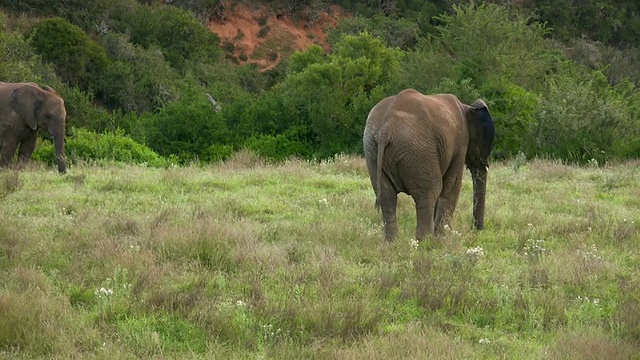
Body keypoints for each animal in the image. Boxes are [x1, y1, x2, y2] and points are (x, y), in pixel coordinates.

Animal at [362, 89, 498, 242]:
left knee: (387, 196)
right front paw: (442, 237)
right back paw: (426, 241)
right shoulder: (460, 143)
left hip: (372, 150)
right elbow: (451, 184)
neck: (467, 107)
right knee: (428, 192)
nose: (476, 229)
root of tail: (386, 128)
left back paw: (392, 242)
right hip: (418, 150)